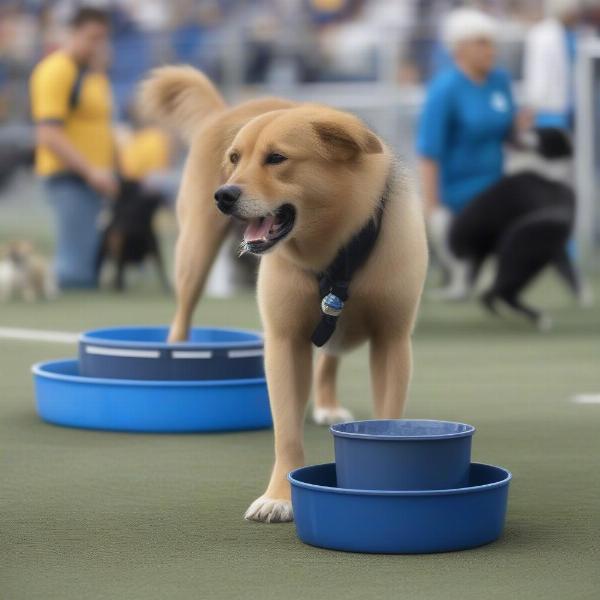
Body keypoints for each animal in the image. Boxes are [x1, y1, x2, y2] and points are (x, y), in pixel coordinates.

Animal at [140, 68, 426, 524]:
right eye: (235, 159)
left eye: (277, 158)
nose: (224, 195)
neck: (335, 248)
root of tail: (226, 110)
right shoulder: (285, 341)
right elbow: (286, 434)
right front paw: (279, 497)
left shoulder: (392, 341)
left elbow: (388, 418)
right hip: (194, 253)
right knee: (181, 316)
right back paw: (176, 357)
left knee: (330, 357)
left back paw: (326, 404)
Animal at [448, 129, 580, 330]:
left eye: (540, 134)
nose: (515, 134)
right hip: (520, 266)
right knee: (498, 292)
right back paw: (536, 317)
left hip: (522, 266)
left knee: (496, 293)